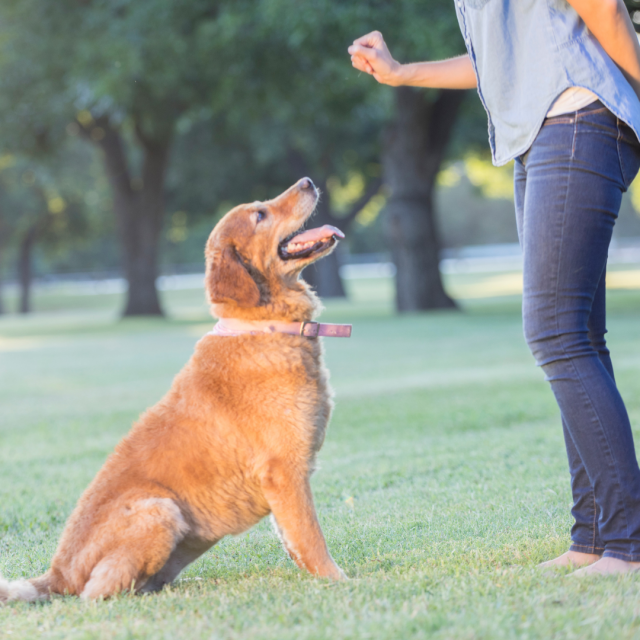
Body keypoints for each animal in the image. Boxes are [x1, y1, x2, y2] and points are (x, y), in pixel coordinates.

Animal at [0, 178, 350, 604]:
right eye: (260, 214)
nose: (308, 182)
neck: (262, 326)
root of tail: (57, 574)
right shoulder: (284, 472)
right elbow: (311, 539)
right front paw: (340, 582)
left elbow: (294, 541)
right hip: (160, 509)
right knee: (96, 593)